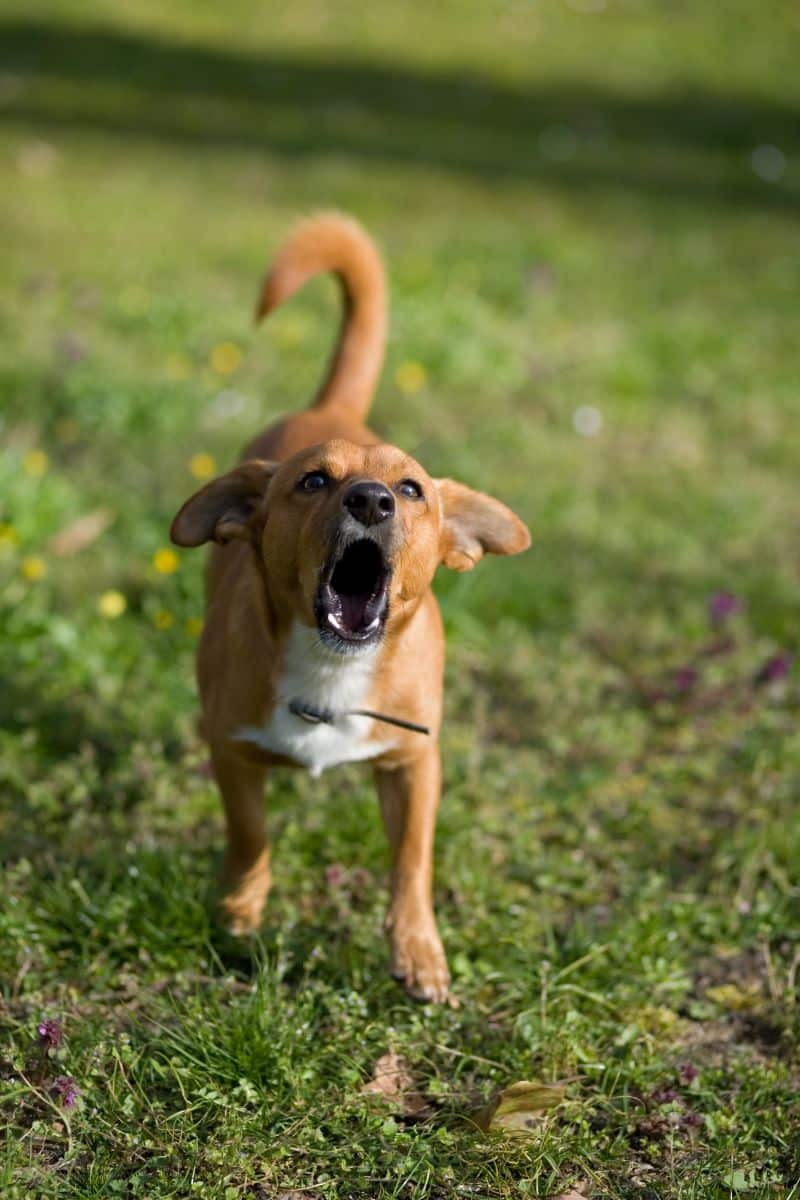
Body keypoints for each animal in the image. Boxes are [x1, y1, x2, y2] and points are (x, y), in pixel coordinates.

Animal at [170, 216, 532, 1003]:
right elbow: (249, 833)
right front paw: (240, 906)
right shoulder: (231, 746)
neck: (332, 671)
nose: (371, 499)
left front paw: (417, 949)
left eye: (413, 488)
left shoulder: (415, 764)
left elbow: (411, 863)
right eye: (312, 481)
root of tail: (334, 405)